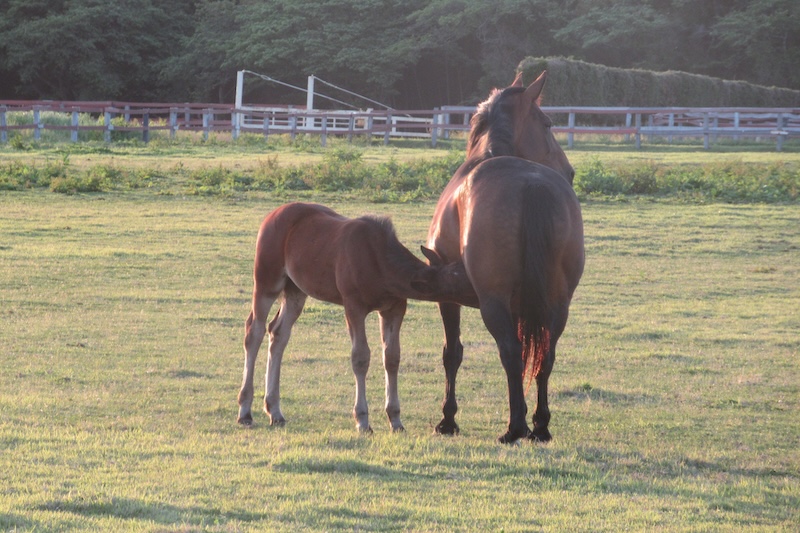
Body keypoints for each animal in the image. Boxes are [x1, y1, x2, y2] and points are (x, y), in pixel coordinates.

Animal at [238, 203, 476, 432]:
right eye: (463, 282)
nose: (481, 294)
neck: (379, 260)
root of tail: (271, 217)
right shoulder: (353, 306)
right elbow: (360, 357)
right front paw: (362, 420)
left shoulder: (394, 308)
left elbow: (392, 357)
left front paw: (395, 419)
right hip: (267, 281)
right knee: (254, 331)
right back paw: (245, 411)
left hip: (295, 290)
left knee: (278, 333)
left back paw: (275, 411)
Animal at [428, 71, 584, 444]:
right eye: (547, 123)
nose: (570, 171)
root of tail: (532, 183)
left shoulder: (446, 296)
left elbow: (452, 353)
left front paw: (448, 420)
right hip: (558, 303)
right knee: (545, 355)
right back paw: (540, 425)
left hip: (493, 302)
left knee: (510, 352)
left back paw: (515, 427)